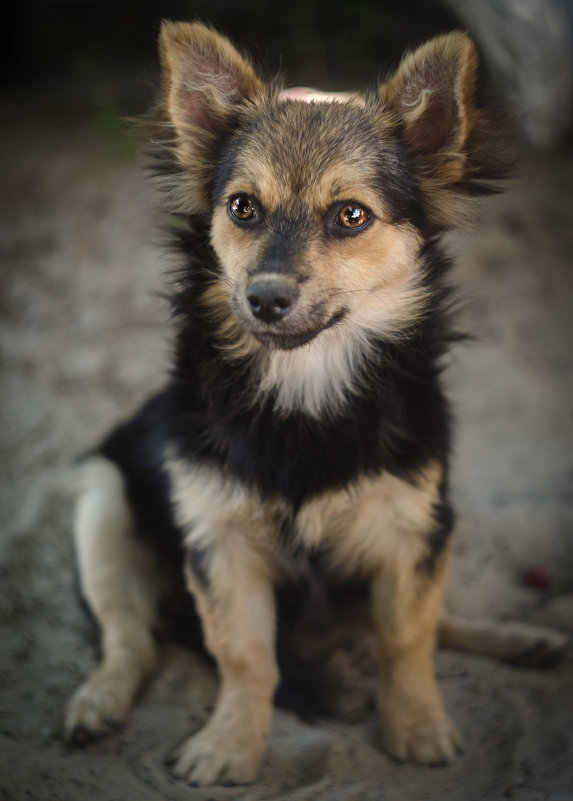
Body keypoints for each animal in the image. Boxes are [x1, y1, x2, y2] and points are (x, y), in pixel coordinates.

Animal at [63, 21, 568, 784]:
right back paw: (98, 701)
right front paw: (229, 744)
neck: (305, 384)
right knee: (130, 637)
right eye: (242, 207)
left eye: (350, 215)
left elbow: (409, 636)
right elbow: (245, 656)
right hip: (101, 504)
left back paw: (521, 638)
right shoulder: (219, 539)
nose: (265, 298)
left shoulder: (411, 525)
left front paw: (418, 724)